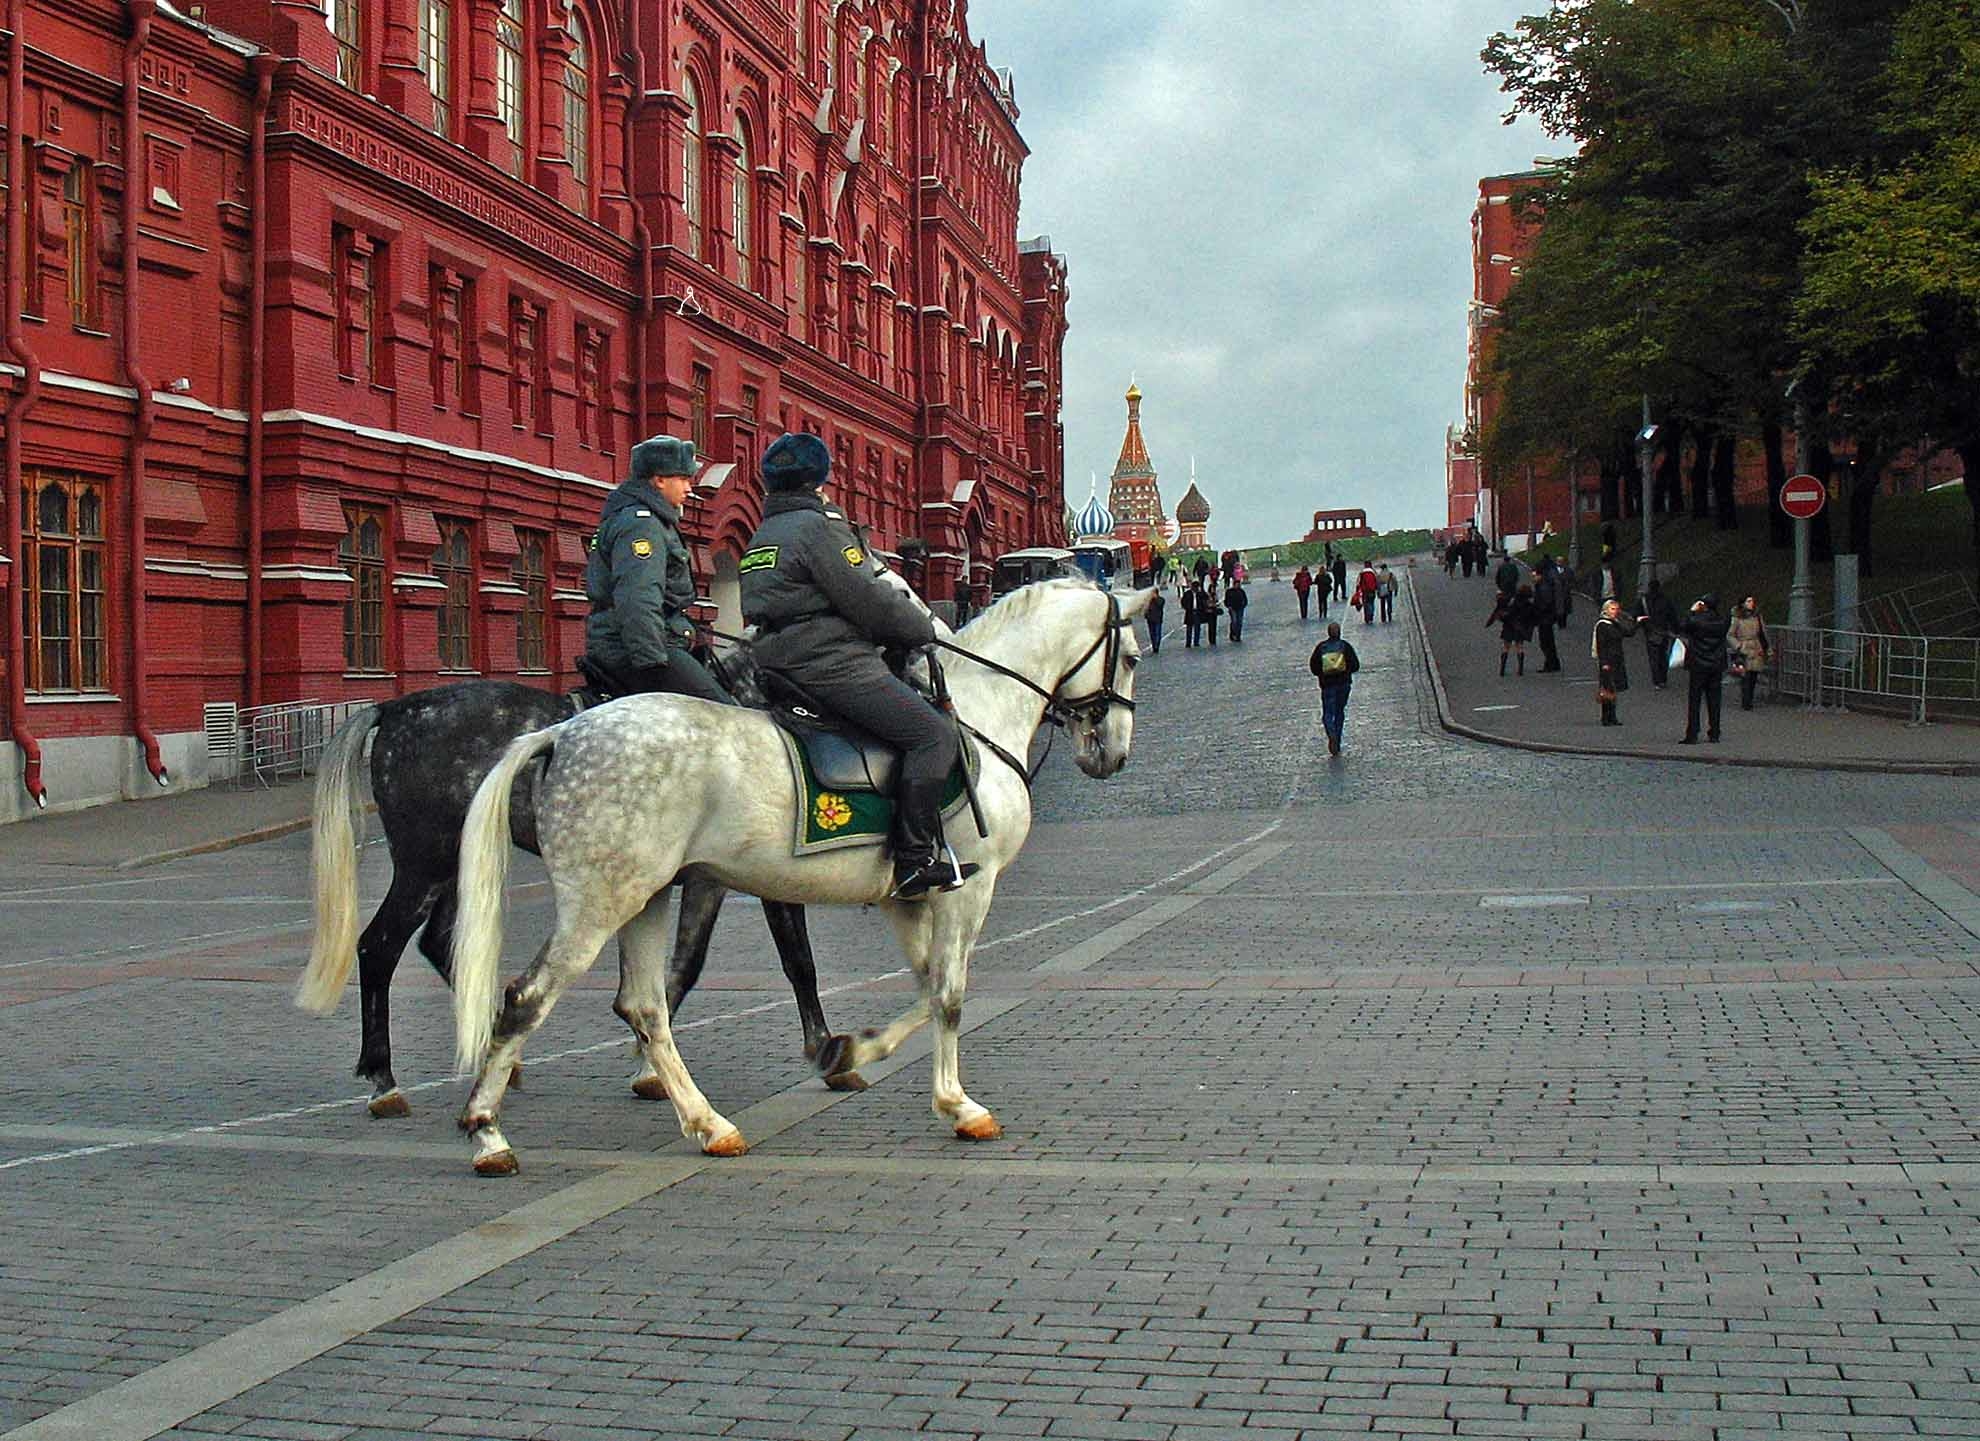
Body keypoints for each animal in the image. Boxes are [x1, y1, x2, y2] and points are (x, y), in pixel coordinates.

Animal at [295, 676, 859, 1116]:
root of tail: (395, 707)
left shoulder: (718, 880)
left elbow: (694, 967)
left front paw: (648, 1061)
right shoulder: (747, 877)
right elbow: (789, 961)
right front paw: (824, 1051)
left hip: (456, 868)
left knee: (438, 943)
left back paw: (497, 1057)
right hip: (424, 865)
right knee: (380, 946)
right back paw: (385, 1080)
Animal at [451, 577, 1156, 1179]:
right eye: (1131, 659)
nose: (1114, 753)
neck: (977, 717)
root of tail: (563, 730)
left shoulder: (908, 896)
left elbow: (927, 987)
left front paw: (852, 1051)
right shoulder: (966, 890)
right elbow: (950, 994)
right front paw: (959, 1105)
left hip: (644, 899)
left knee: (645, 1006)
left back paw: (708, 1123)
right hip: (599, 905)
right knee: (526, 999)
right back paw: (487, 1131)